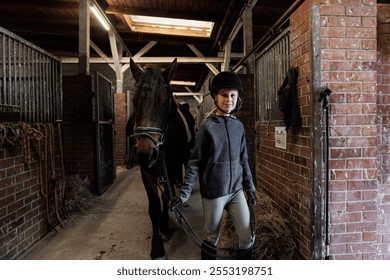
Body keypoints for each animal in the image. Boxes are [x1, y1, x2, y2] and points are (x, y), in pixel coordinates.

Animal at [127, 58, 197, 260]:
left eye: (165, 102)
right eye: (135, 101)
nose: (145, 152)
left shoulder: (171, 167)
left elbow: (166, 197)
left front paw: (164, 226)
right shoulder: (146, 170)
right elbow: (154, 207)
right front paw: (157, 248)